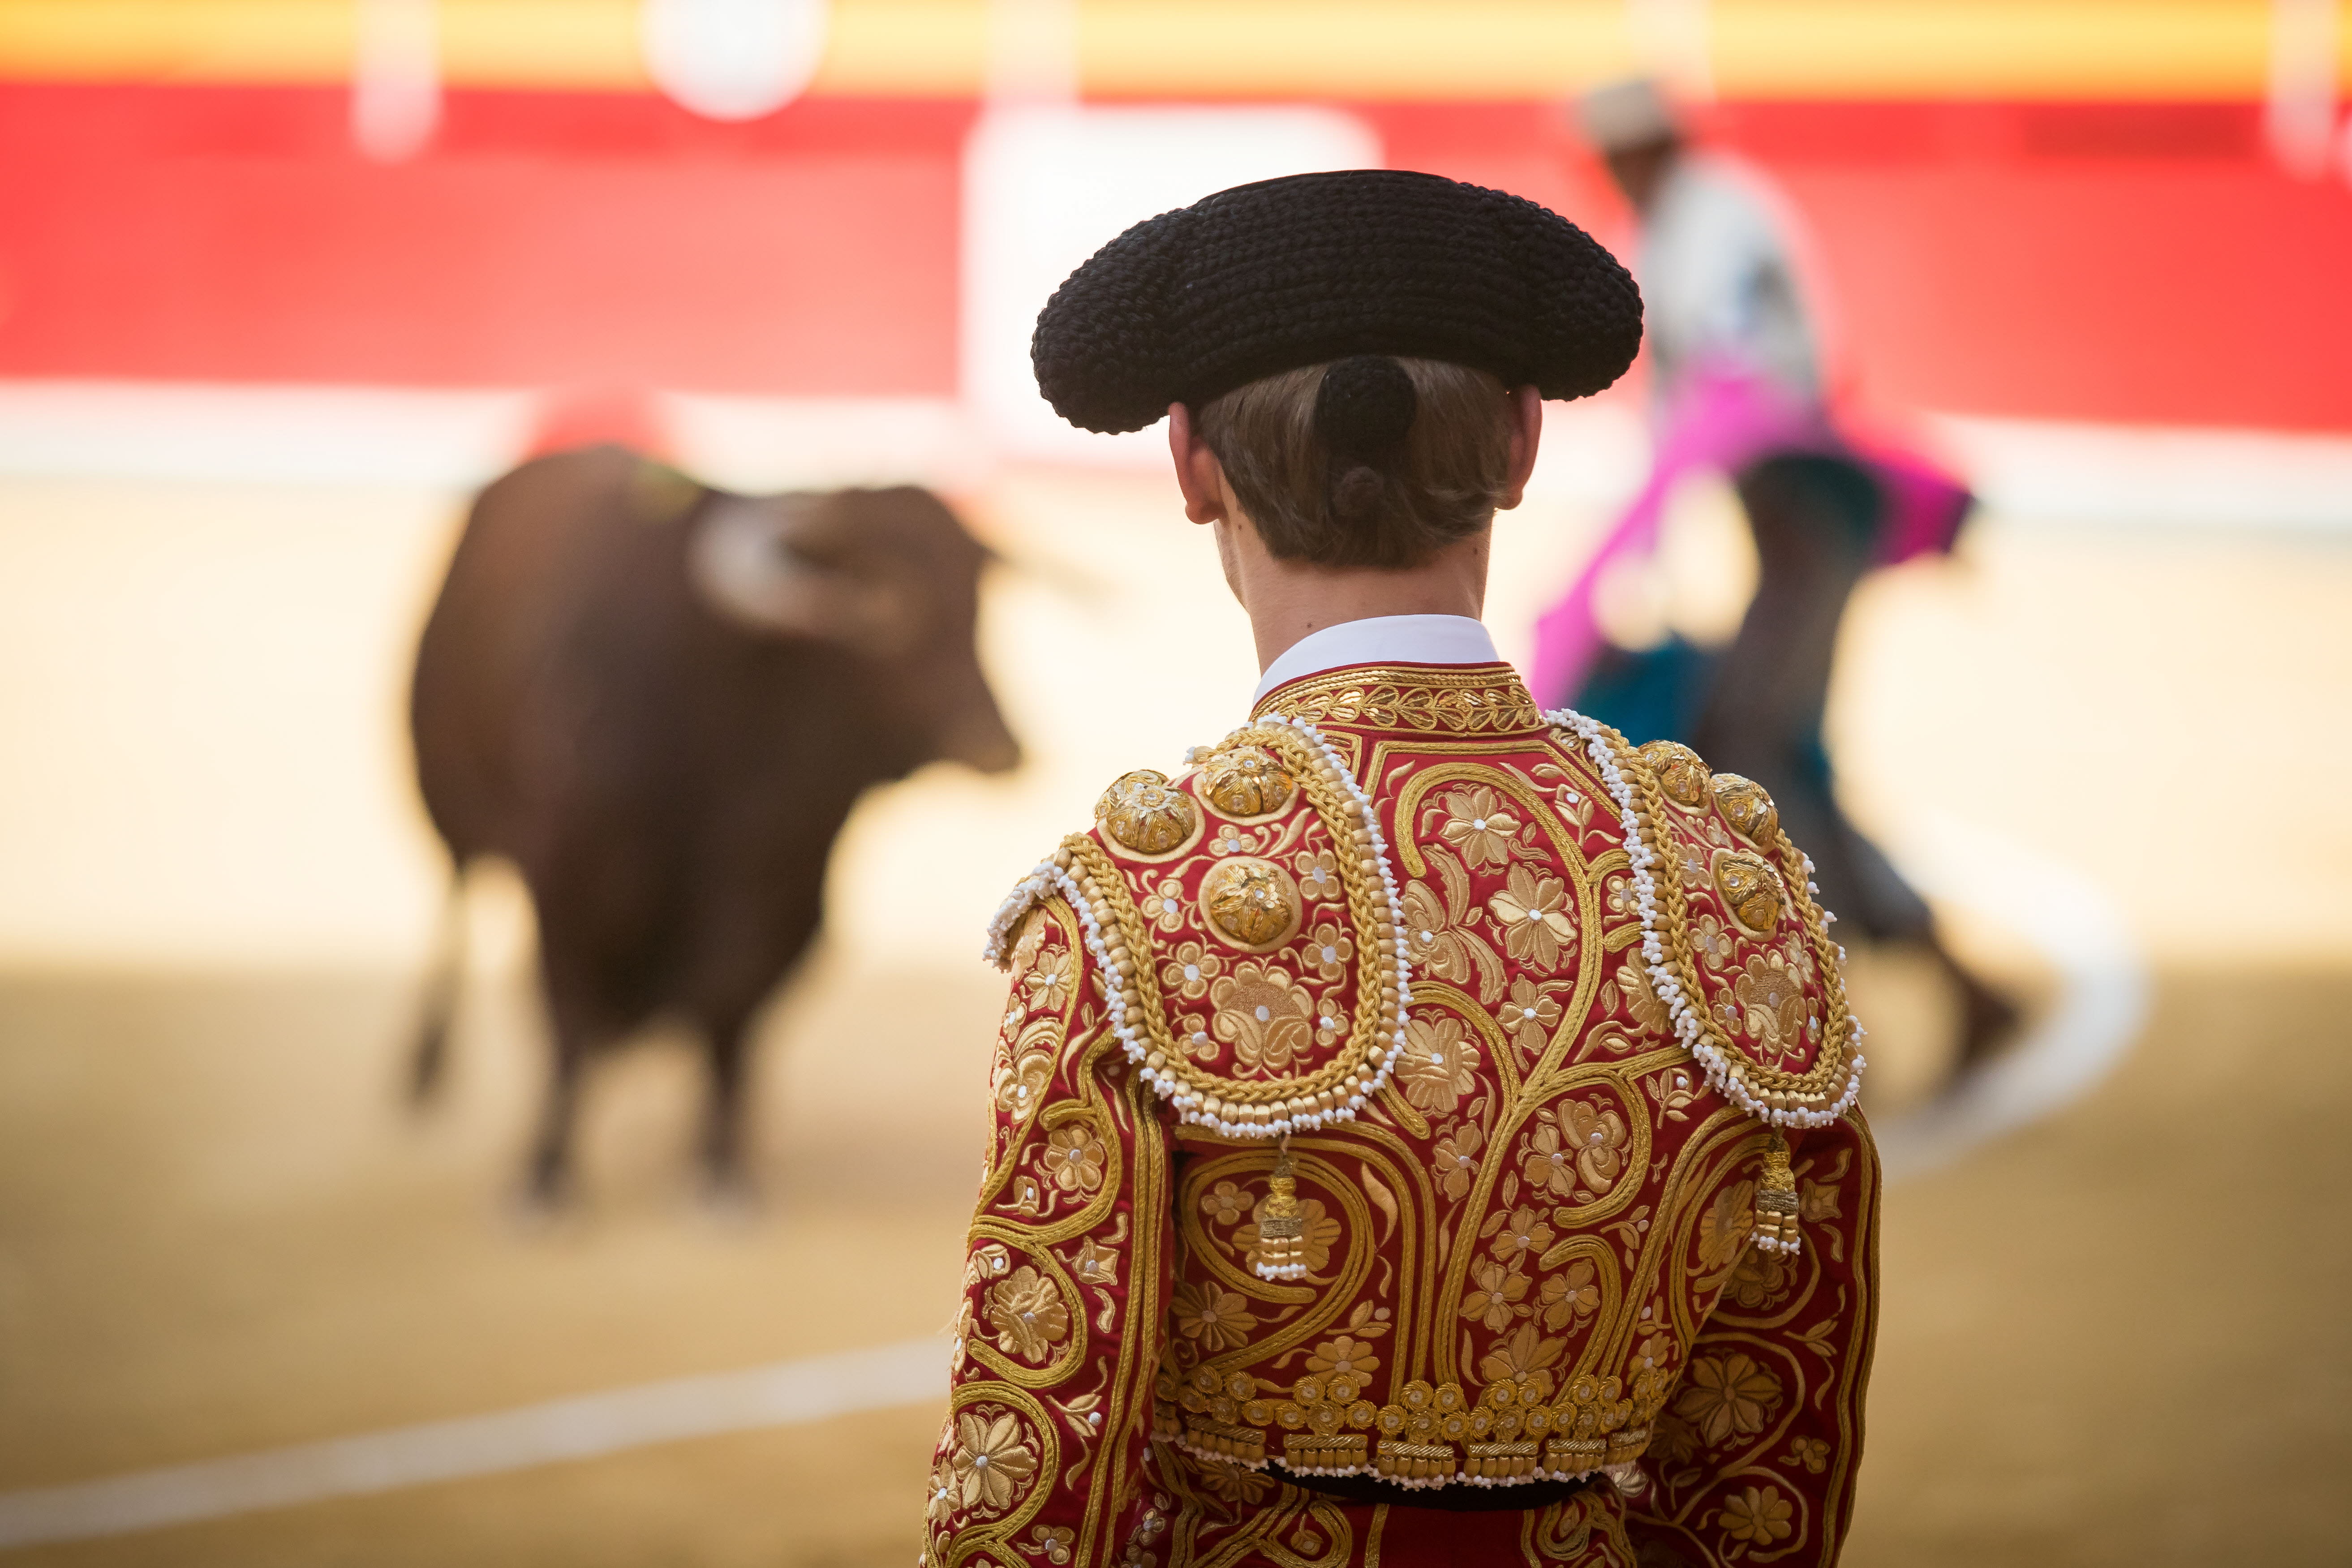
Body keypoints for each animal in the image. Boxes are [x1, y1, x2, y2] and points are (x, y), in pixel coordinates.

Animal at [409, 447, 1016, 1213]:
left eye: (976, 602)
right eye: (883, 599)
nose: (998, 746)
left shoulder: (780, 892)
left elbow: (730, 1010)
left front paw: (723, 1166)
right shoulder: (567, 886)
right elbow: (566, 1019)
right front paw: (546, 1173)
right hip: (448, 808)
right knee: (453, 903)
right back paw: (423, 1067)